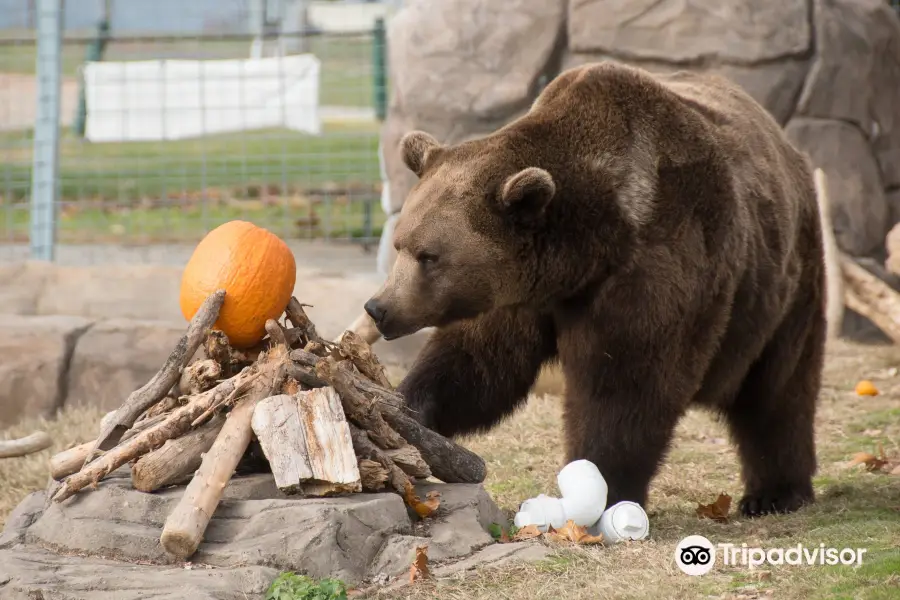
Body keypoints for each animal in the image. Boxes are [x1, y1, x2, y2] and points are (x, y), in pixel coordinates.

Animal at [362, 63, 828, 516]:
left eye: (429, 257)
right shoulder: (520, 297)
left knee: (778, 389)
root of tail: (781, 140)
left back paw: (775, 493)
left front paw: (602, 487)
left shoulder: (653, 267)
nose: (379, 307)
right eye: (401, 244)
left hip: (784, 280)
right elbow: (477, 363)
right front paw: (407, 409)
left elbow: (625, 388)